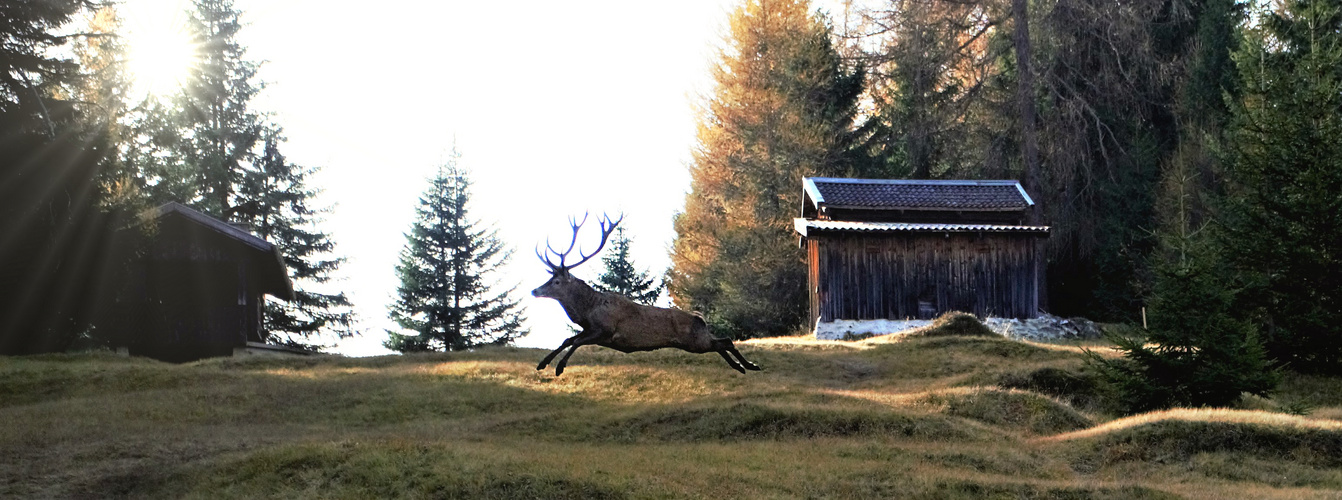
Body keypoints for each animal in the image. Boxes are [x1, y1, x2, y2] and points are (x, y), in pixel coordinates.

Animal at [534, 213, 767, 375]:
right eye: (549, 278)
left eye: (556, 281)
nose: (535, 290)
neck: (588, 310)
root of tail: (699, 318)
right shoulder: (590, 330)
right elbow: (567, 339)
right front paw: (542, 363)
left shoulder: (606, 331)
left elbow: (575, 342)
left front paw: (560, 367)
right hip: (697, 341)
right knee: (721, 343)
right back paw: (741, 367)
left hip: (694, 341)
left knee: (725, 341)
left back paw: (750, 365)